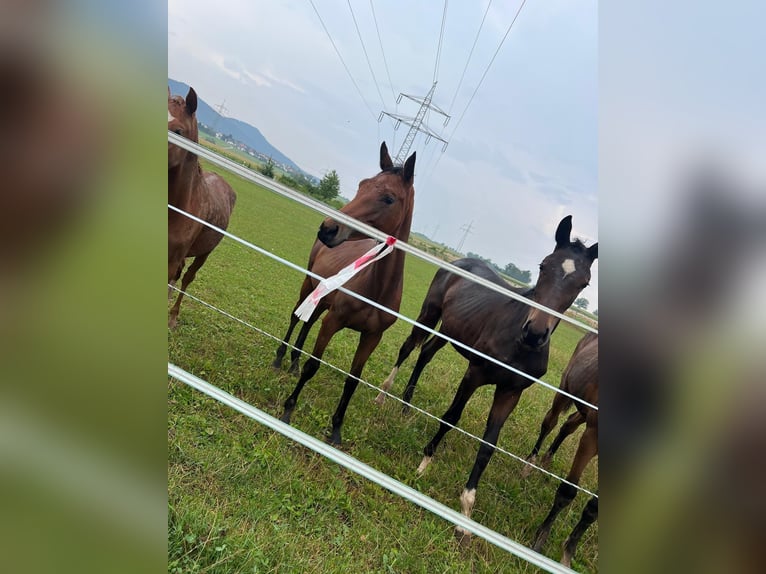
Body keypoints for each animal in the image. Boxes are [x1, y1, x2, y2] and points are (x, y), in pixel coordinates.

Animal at [276, 142, 416, 445]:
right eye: (362, 185)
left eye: (389, 198)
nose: (328, 228)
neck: (376, 289)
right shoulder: (334, 321)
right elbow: (313, 365)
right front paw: (289, 410)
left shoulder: (372, 337)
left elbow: (352, 381)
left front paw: (336, 430)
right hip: (309, 286)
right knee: (295, 317)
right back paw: (280, 359)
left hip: (321, 298)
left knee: (308, 323)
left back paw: (293, 363)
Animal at [400, 216, 597, 545]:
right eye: (543, 266)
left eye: (583, 283)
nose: (535, 334)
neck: (517, 343)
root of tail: (460, 261)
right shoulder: (475, 374)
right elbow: (451, 417)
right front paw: (424, 464)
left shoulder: (510, 392)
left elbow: (489, 446)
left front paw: (466, 513)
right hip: (430, 314)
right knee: (409, 347)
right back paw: (384, 395)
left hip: (450, 331)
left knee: (425, 352)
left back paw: (405, 404)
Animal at [526, 331, 598, 566]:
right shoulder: (592, 437)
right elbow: (567, 491)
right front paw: (540, 539)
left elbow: (594, 508)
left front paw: (568, 553)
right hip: (565, 389)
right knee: (551, 422)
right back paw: (531, 463)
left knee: (568, 425)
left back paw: (547, 459)